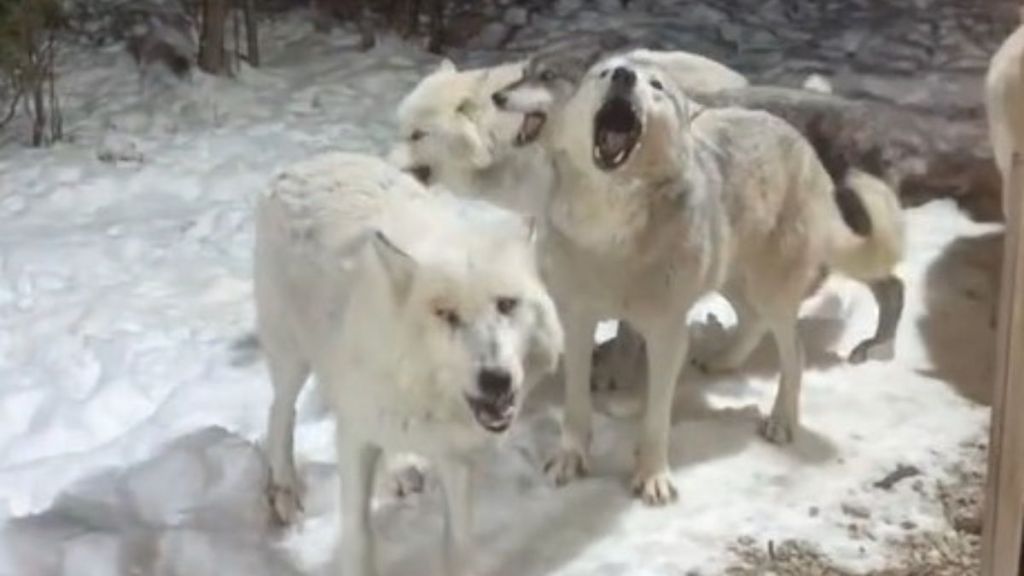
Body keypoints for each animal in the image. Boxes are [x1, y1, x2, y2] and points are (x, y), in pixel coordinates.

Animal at [252, 152, 565, 573]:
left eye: (506, 304)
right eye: (445, 314)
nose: (496, 380)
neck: (423, 394)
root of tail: (306, 163)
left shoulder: (455, 453)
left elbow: (459, 543)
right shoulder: (355, 437)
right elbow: (359, 538)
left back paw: (398, 471)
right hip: (292, 359)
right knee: (280, 412)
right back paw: (284, 490)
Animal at [520, 53, 905, 502]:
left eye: (656, 85)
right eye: (604, 72)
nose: (624, 75)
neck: (609, 226)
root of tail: (799, 142)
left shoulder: (666, 333)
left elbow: (656, 418)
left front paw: (652, 478)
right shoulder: (578, 321)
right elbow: (577, 406)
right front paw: (569, 461)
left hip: (771, 290)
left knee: (794, 351)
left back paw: (781, 420)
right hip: (730, 277)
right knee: (752, 320)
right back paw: (722, 362)